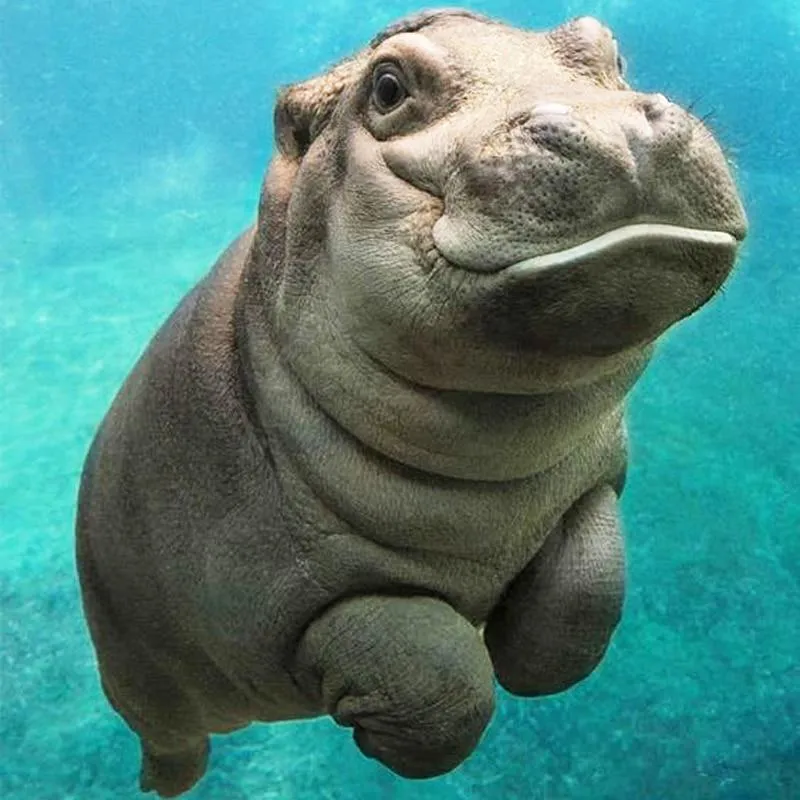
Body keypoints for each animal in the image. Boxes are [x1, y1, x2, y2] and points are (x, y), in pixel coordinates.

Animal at [75, 8, 747, 797]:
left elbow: (587, 593)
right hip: (138, 674)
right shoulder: (280, 595)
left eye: (608, 49)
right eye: (388, 87)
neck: (494, 456)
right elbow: (439, 681)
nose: (614, 126)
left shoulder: (591, 482)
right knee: (170, 734)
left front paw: (526, 658)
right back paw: (165, 782)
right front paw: (389, 730)